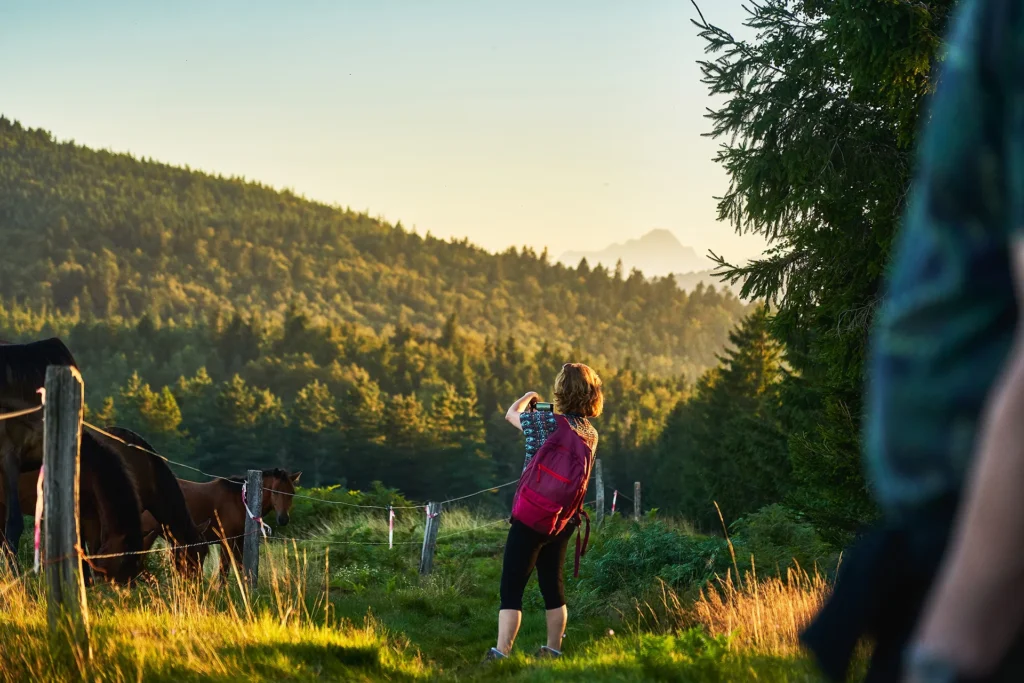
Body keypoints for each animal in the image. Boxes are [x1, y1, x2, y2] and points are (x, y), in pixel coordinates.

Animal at [146, 466, 301, 573]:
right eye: (275, 492)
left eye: (292, 493)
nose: (283, 519)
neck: (239, 500)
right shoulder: (227, 540)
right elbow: (224, 569)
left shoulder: (239, 540)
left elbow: (240, 566)